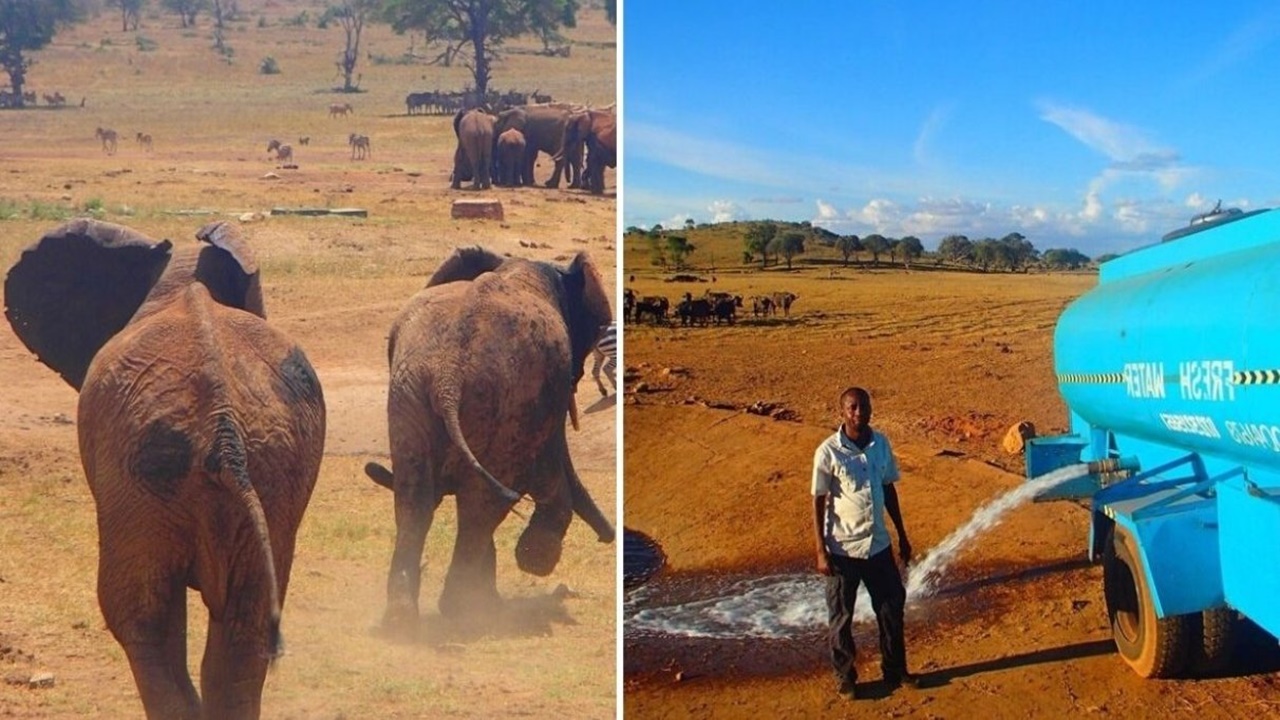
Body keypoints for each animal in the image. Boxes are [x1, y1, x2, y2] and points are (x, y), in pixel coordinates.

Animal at [363, 244, 616, 622]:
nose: (607, 537)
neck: (518, 266)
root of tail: (448, 375)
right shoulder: (546, 390)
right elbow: (549, 467)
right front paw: (535, 559)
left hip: (410, 395)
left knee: (416, 497)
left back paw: (405, 616)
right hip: (502, 401)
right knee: (484, 502)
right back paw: (461, 610)